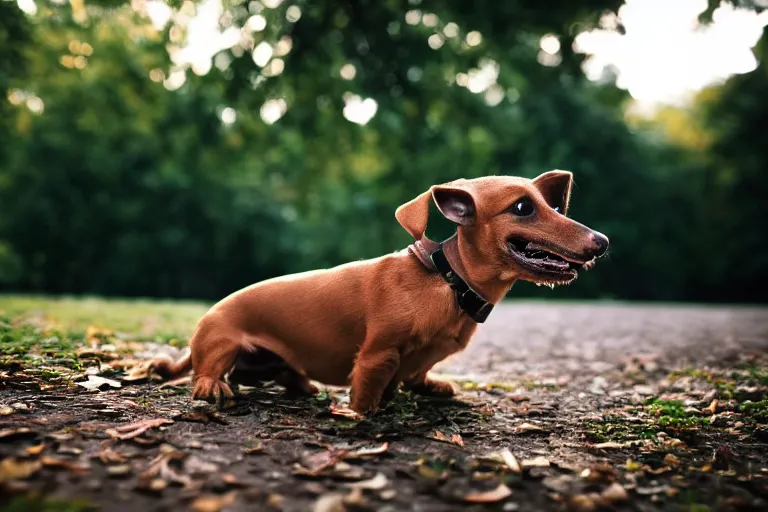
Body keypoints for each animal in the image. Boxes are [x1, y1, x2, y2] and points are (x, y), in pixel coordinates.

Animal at [154, 172, 608, 416]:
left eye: (556, 208)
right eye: (522, 208)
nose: (601, 242)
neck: (449, 282)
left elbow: (417, 374)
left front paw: (428, 386)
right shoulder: (379, 354)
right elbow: (368, 392)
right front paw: (366, 411)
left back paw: (301, 384)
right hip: (223, 344)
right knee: (205, 375)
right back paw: (211, 385)